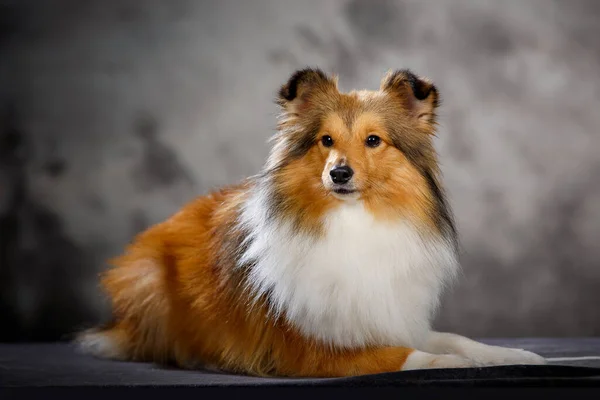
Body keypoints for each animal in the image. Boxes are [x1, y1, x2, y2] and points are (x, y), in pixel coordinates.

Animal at [77, 67, 548, 376]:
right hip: (147, 279)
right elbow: (409, 356)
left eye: (373, 140)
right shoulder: (309, 350)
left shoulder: (390, 315)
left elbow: (454, 338)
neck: (354, 224)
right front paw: (454, 364)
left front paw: (518, 356)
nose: (338, 173)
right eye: (326, 140)